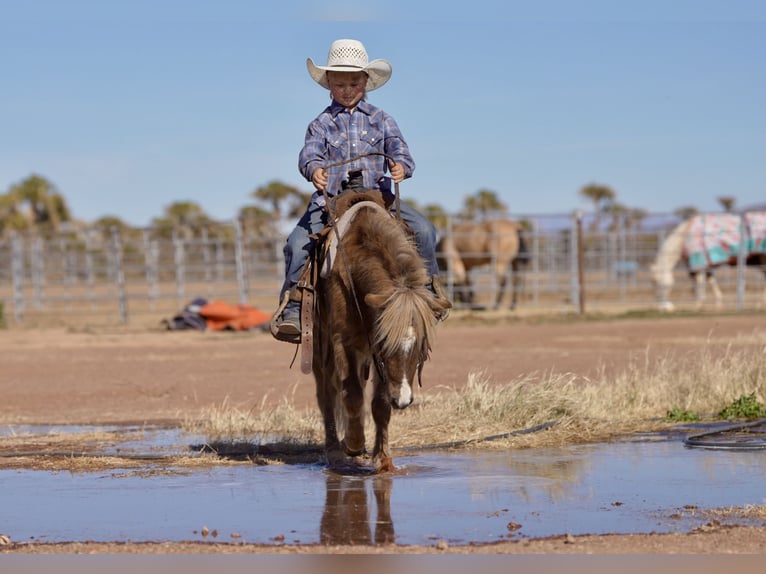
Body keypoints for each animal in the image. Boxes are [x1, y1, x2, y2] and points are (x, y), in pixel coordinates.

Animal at [312, 192, 450, 473]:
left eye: (421, 348)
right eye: (386, 344)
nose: (404, 401)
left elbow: (379, 404)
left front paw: (383, 459)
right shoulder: (344, 342)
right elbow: (352, 394)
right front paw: (353, 444)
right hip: (321, 344)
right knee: (326, 392)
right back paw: (335, 451)